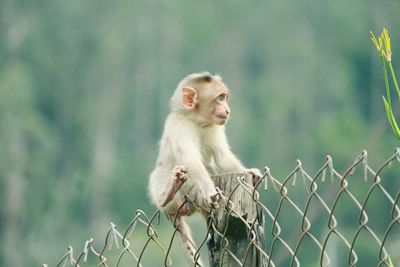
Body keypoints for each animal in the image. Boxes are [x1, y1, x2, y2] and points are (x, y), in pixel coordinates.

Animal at [148, 72, 260, 266]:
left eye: (225, 97)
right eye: (220, 98)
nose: (227, 110)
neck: (197, 121)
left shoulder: (214, 128)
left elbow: (222, 156)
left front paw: (250, 173)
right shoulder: (179, 126)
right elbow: (191, 161)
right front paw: (209, 191)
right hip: (184, 194)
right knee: (162, 172)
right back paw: (167, 194)